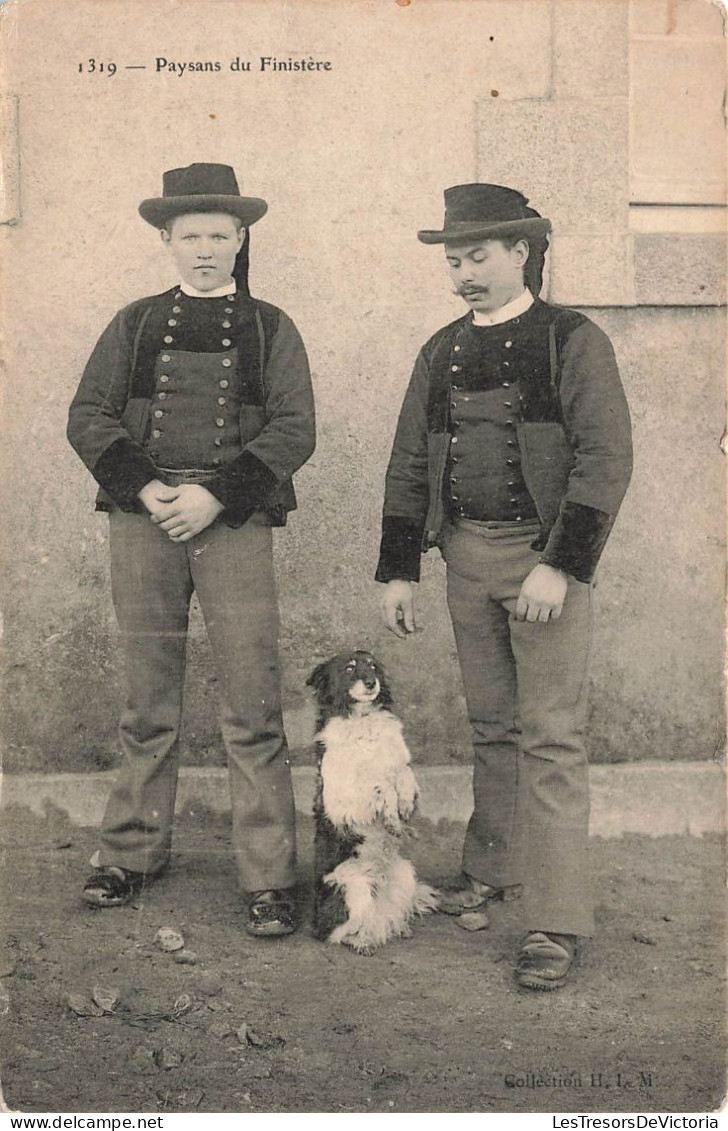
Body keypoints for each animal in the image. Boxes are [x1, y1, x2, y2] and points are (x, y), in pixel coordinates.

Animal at [302, 646, 434, 954]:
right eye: (350, 669)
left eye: (373, 666)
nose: (371, 683)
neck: (364, 721)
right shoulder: (341, 803)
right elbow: (380, 784)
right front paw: (392, 812)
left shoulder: (398, 762)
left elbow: (403, 773)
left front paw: (404, 805)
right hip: (354, 889)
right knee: (337, 932)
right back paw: (361, 942)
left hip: (405, 876)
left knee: (385, 919)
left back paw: (397, 928)